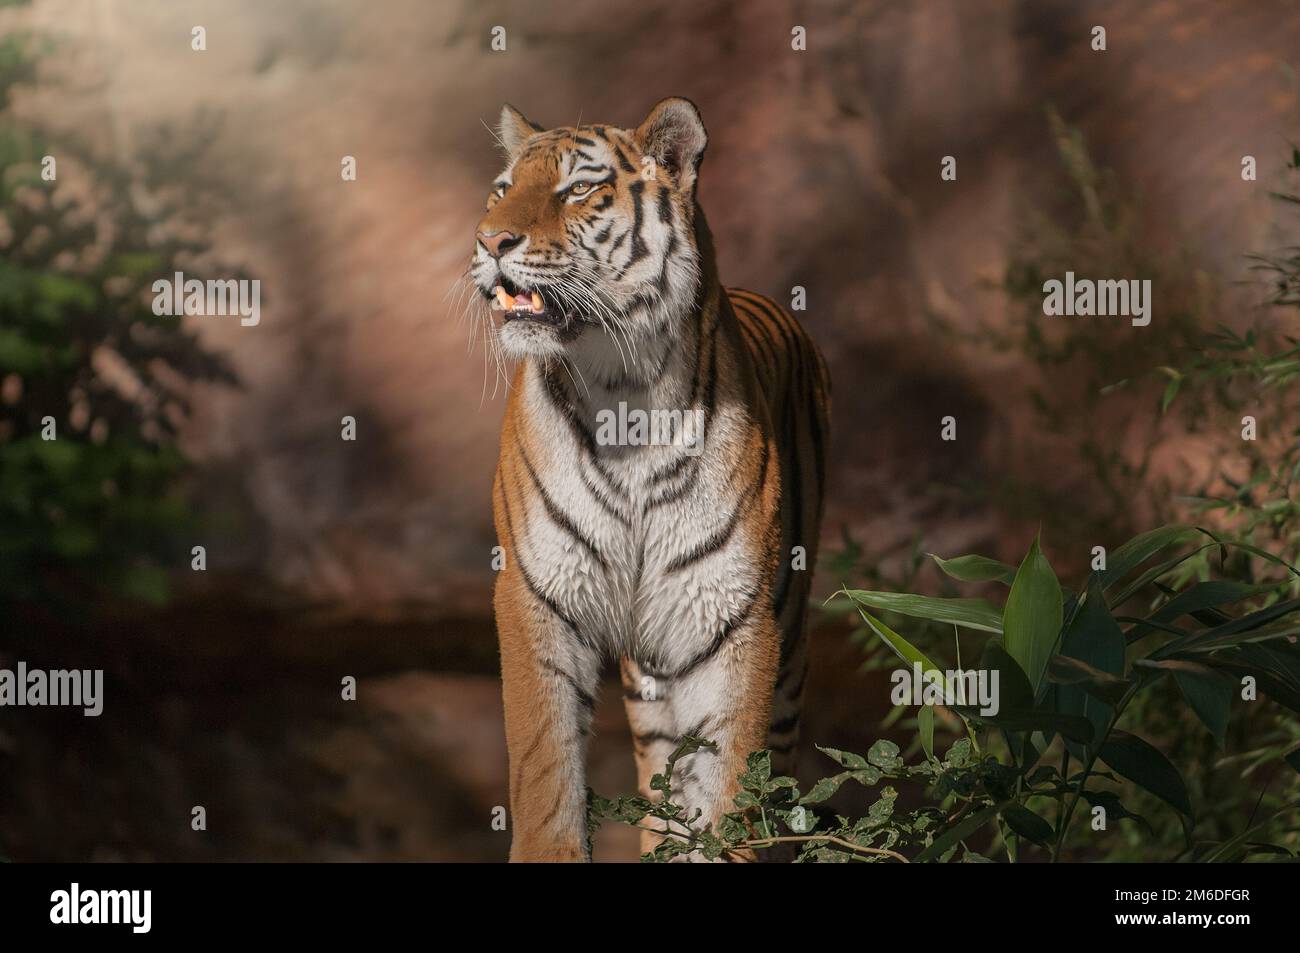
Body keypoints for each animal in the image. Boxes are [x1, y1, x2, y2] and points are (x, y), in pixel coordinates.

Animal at [470, 96, 832, 863]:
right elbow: (545, 771)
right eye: (500, 188)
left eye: (578, 189)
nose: (490, 241)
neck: (623, 395)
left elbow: (730, 792)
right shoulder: (537, 592)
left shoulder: (733, 615)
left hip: (786, 640)